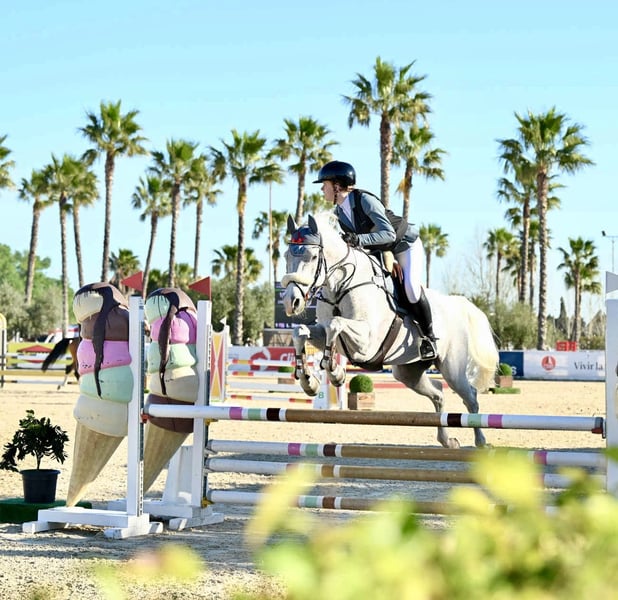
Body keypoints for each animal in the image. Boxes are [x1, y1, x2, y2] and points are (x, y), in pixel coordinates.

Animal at [281, 213, 500, 448]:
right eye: (286, 255)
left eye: (313, 257)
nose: (291, 302)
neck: (341, 286)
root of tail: (457, 305)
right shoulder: (324, 332)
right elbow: (300, 332)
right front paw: (309, 382)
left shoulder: (366, 343)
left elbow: (335, 324)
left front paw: (335, 373)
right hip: (408, 372)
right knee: (438, 393)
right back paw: (448, 441)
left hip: (452, 369)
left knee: (471, 396)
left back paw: (480, 441)